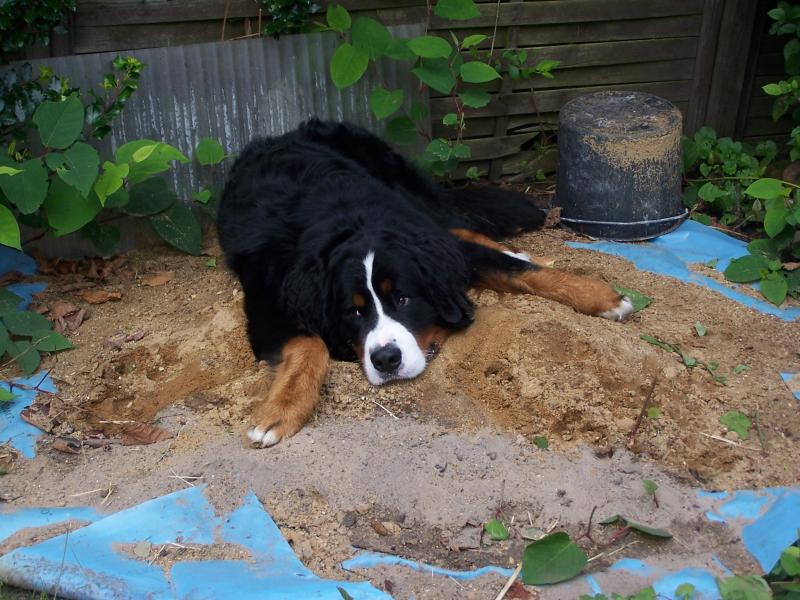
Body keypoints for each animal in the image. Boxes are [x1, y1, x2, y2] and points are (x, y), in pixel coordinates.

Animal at [217, 119, 633, 447]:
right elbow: (309, 345)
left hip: (412, 194)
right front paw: (281, 410)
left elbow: (518, 271)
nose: (386, 360)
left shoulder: (435, 245)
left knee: (456, 224)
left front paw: (602, 297)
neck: (349, 221)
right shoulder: (268, 303)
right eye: (354, 312)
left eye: (403, 299)